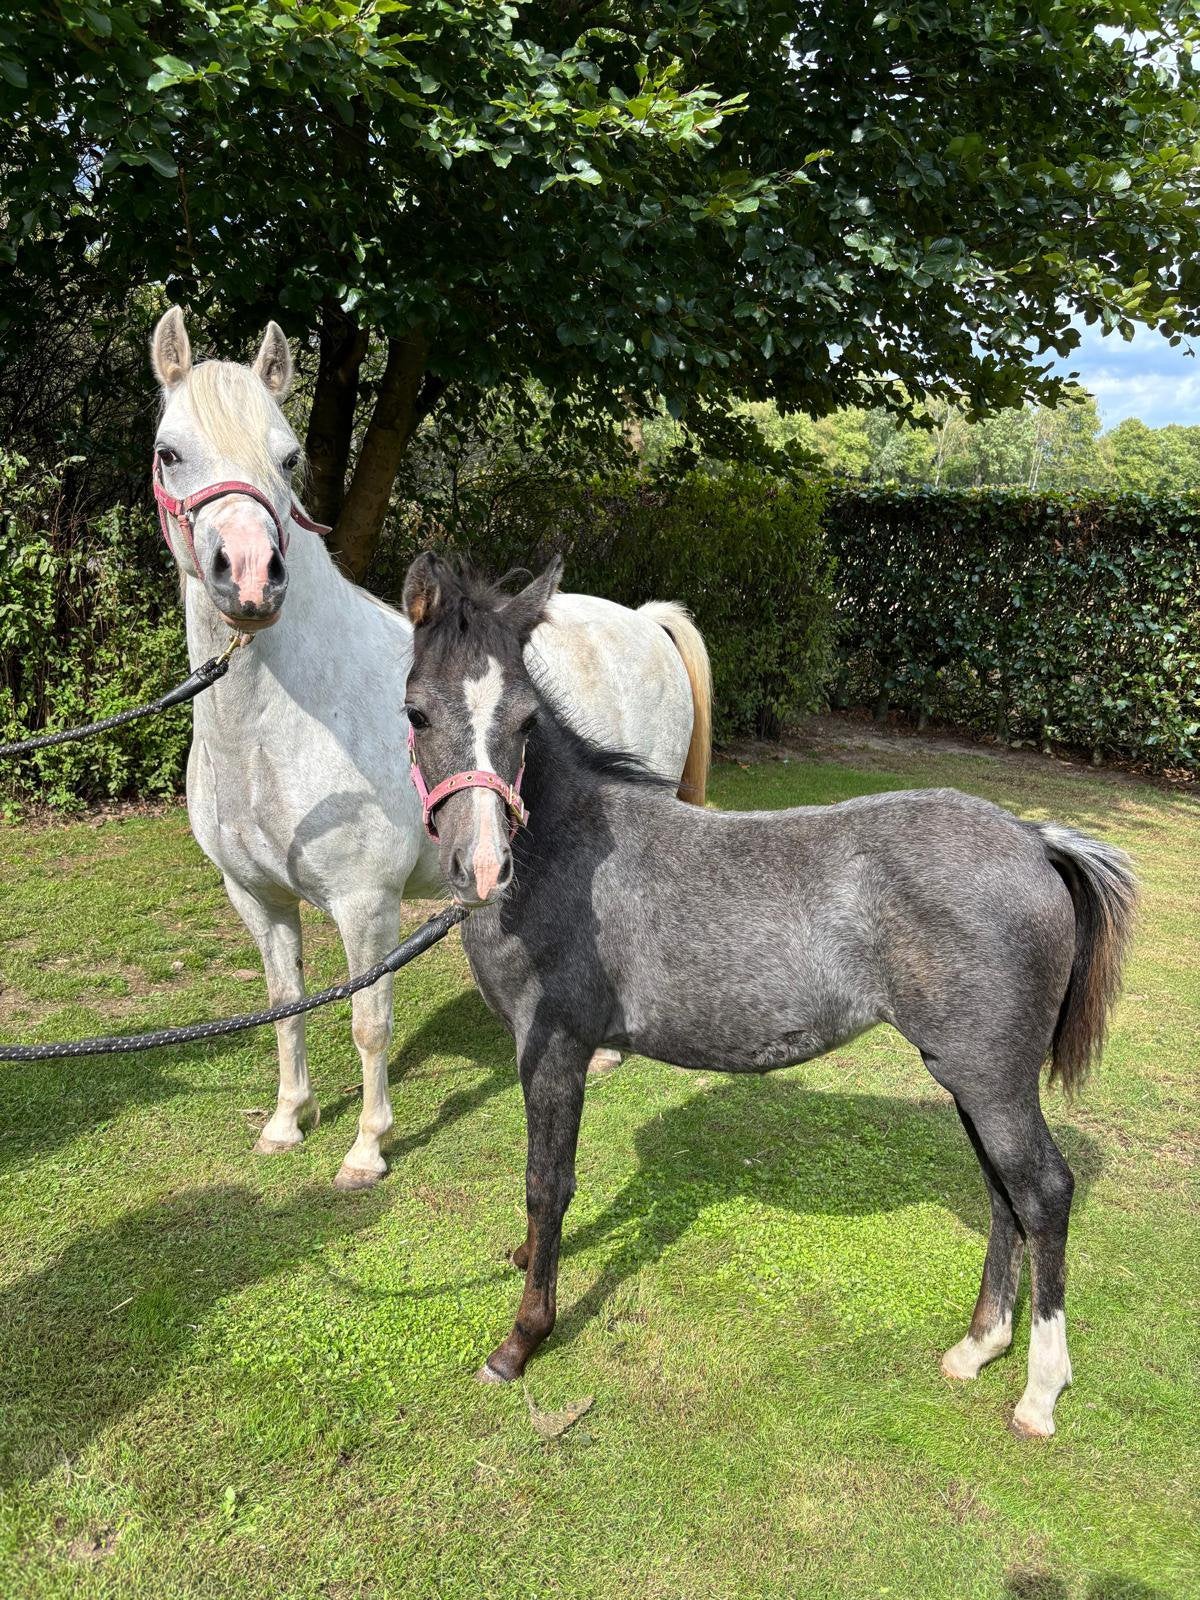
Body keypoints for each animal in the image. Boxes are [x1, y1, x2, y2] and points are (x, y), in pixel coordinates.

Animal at [148, 307, 711, 1189]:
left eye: (287, 457)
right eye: (171, 451)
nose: (249, 576)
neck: (271, 732)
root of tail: (645, 620)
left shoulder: (366, 905)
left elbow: (368, 1023)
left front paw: (366, 1149)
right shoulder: (257, 899)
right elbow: (283, 1008)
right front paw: (286, 1120)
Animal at [400, 553, 1137, 1439]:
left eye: (526, 719)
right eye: (416, 711)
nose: (480, 868)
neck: (562, 856)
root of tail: (1035, 838)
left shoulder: (557, 1051)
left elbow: (550, 1183)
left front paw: (521, 1340)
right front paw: (524, 1262)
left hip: (992, 1081)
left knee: (1044, 1194)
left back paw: (1038, 1391)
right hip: (971, 1076)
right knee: (1006, 1195)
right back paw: (976, 1348)